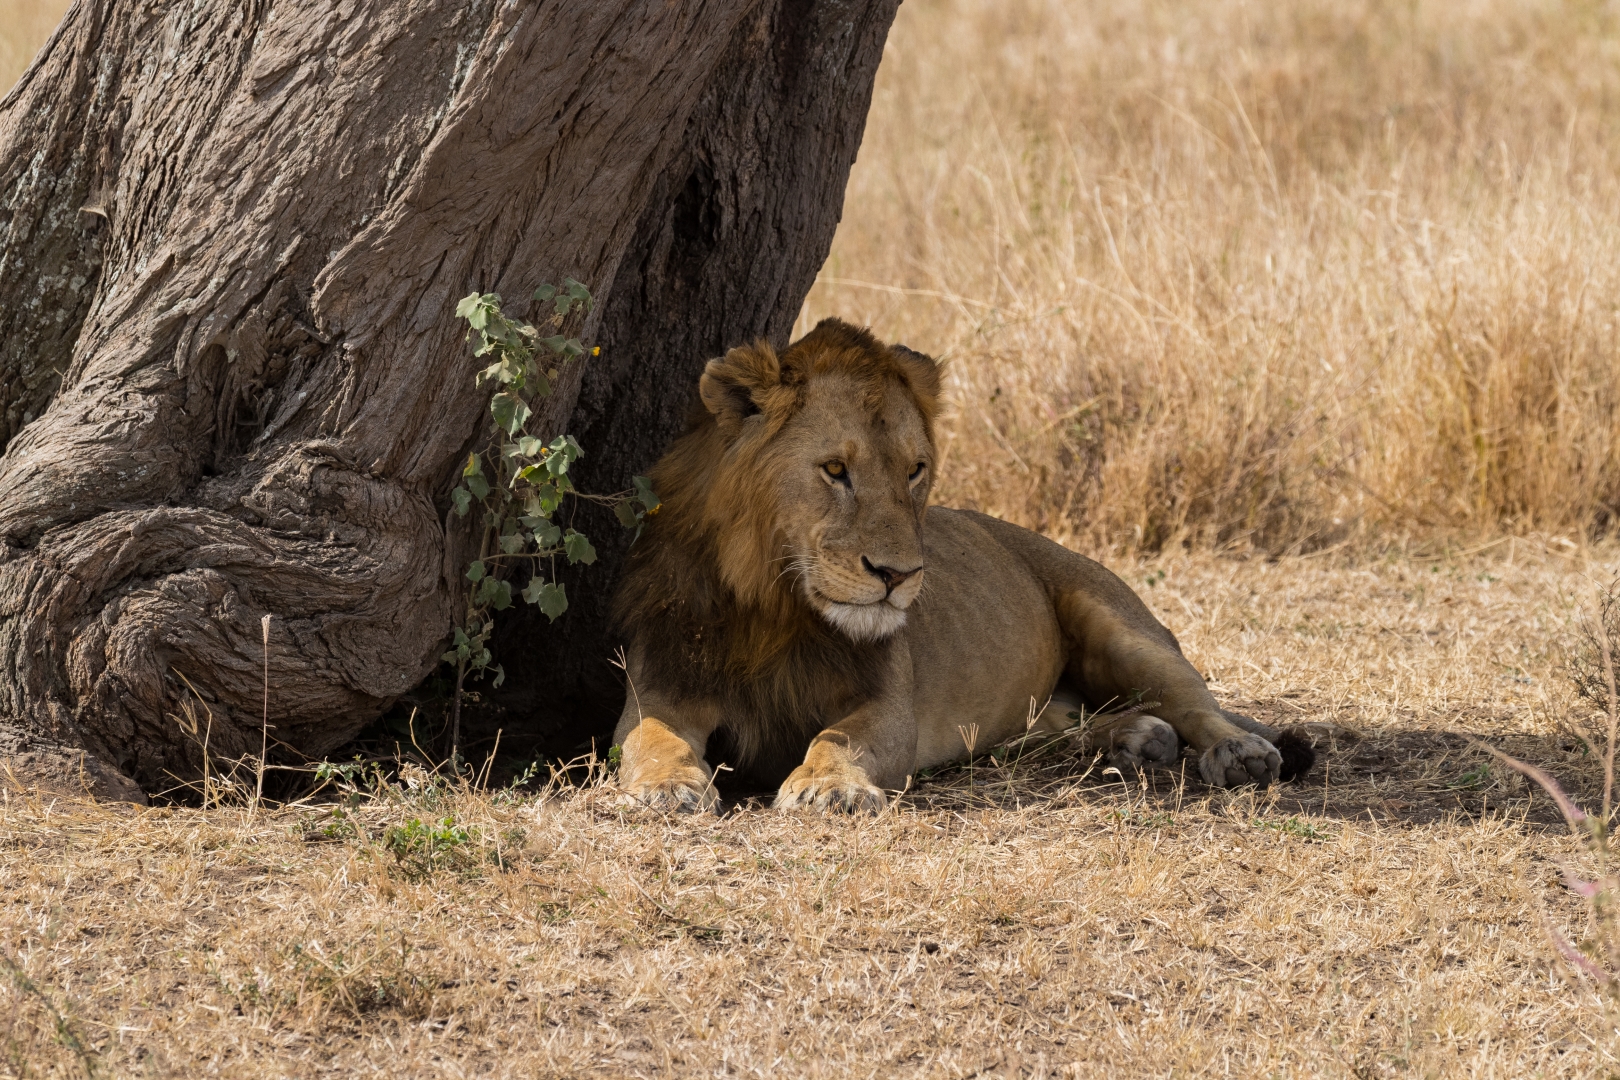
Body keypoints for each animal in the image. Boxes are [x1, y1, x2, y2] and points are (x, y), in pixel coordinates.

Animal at [609, 314, 1315, 809]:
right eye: (835, 470)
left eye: (915, 470)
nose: (898, 577)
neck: (772, 606)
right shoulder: (661, 685)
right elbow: (650, 736)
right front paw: (664, 788)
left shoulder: (889, 706)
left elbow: (838, 739)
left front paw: (829, 788)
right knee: (1059, 723)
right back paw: (1137, 736)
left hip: (1120, 625)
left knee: (1193, 699)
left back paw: (1236, 751)